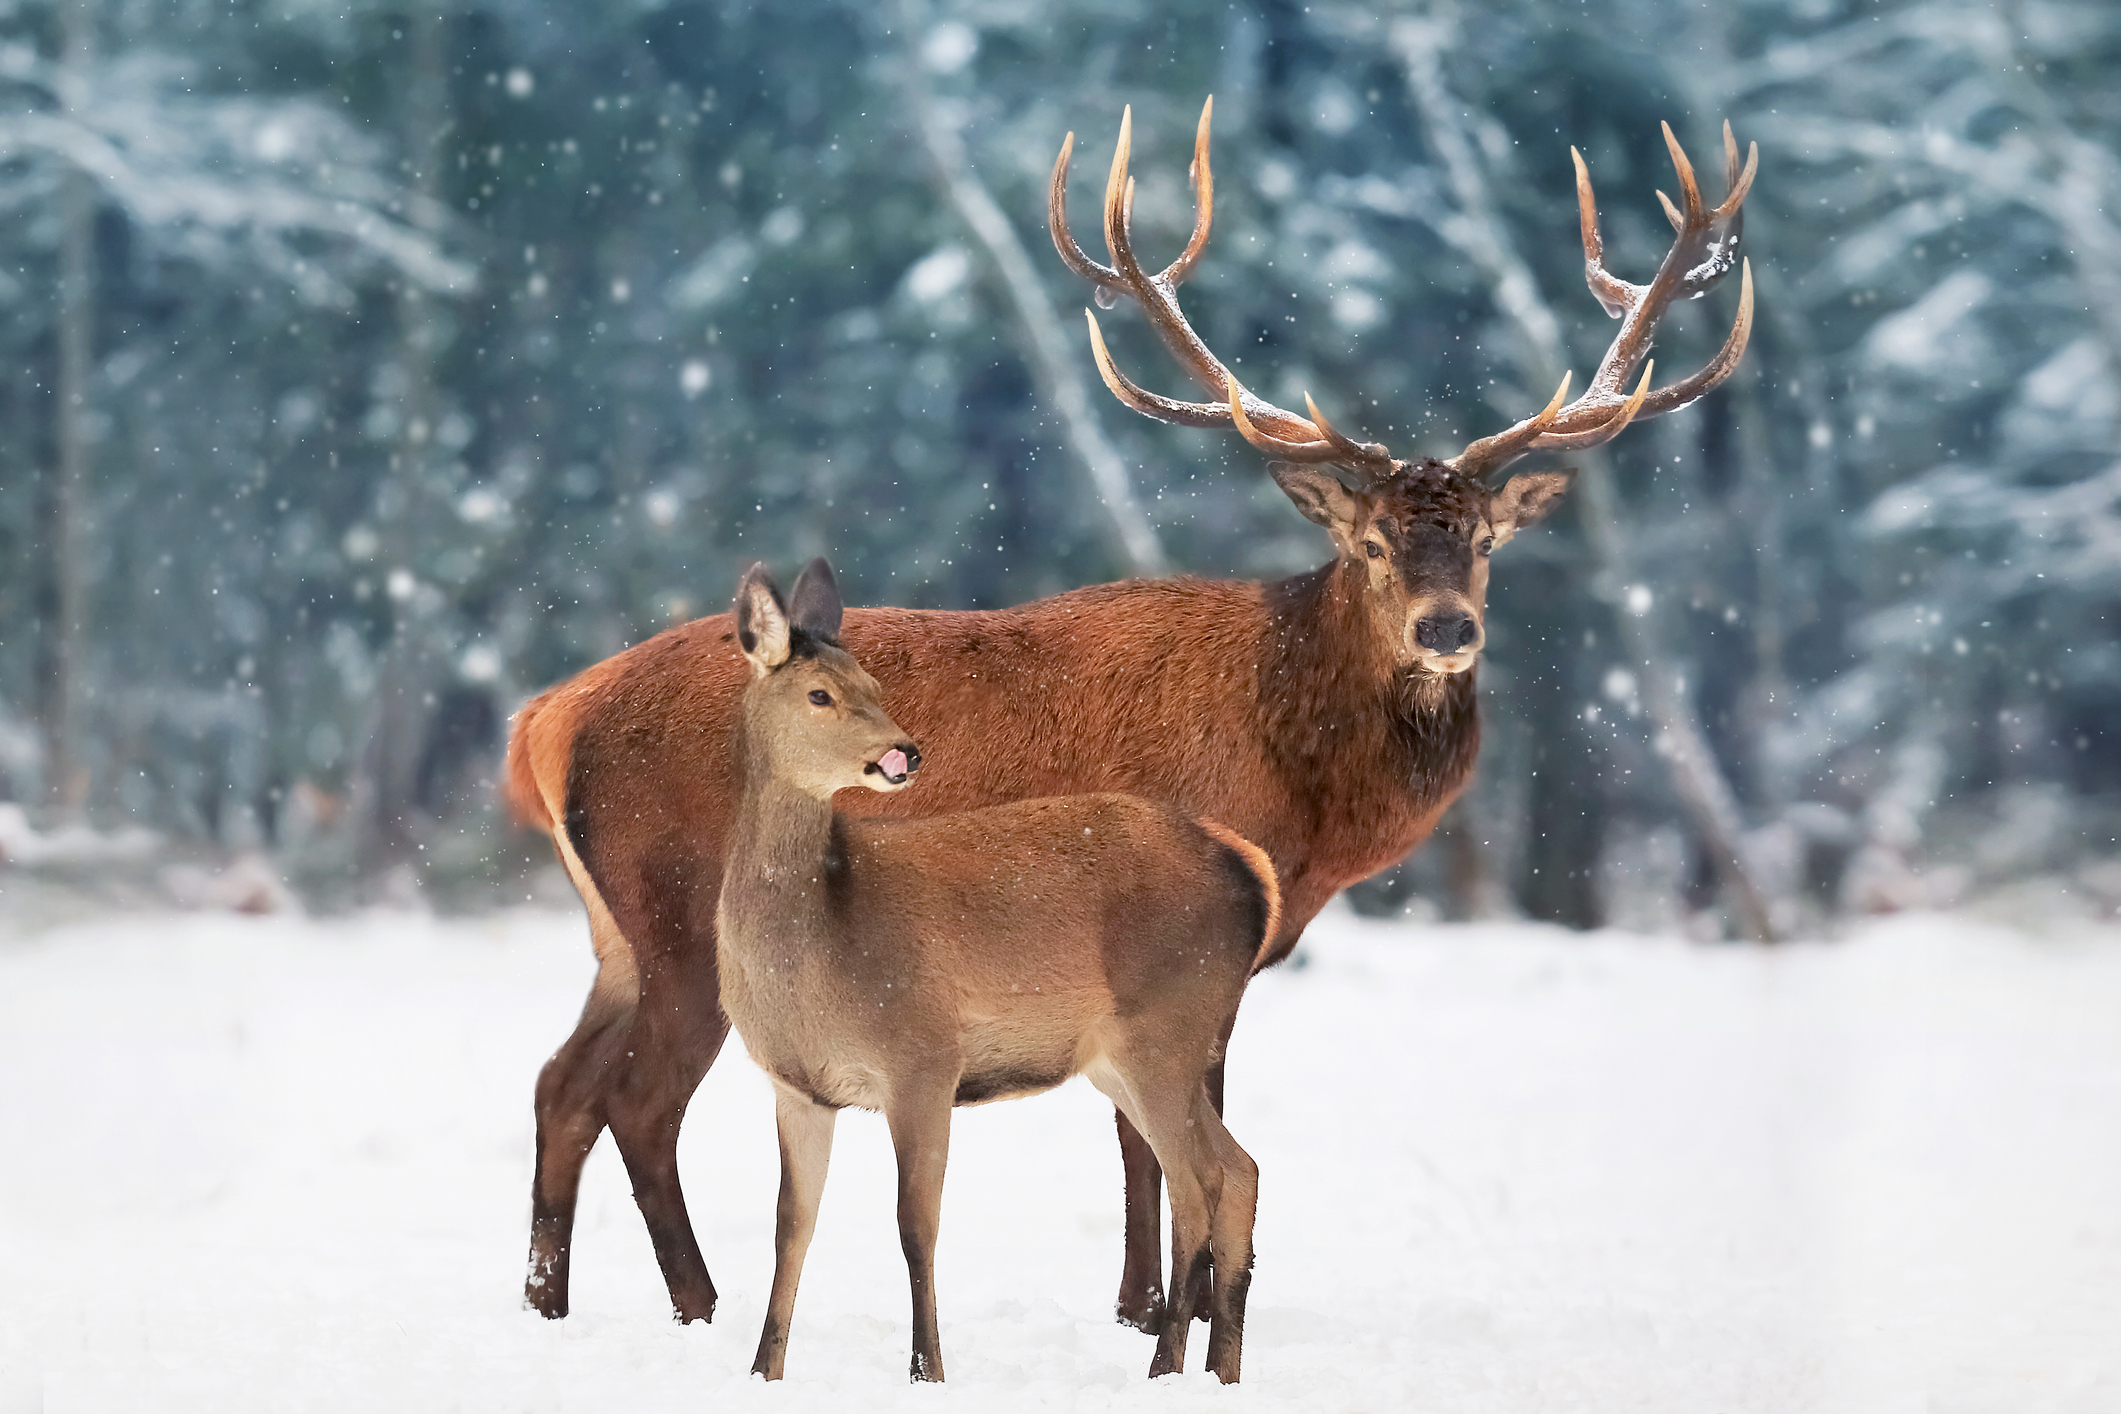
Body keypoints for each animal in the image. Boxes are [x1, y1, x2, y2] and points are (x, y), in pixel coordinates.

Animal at [721, 559, 1264, 1390]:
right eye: (820, 693)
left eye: (873, 681)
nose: (905, 753)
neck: (817, 954)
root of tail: (1252, 872)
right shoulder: (797, 1086)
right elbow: (792, 1228)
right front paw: (762, 1372)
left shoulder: (922, 1056)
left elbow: (915, 1225)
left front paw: (926, 1372)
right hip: (1127, 1057)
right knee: (1239, 1171)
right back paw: (1221, 1372)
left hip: (1166, 1026)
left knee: (1198, 1185)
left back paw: (1165, 1368)